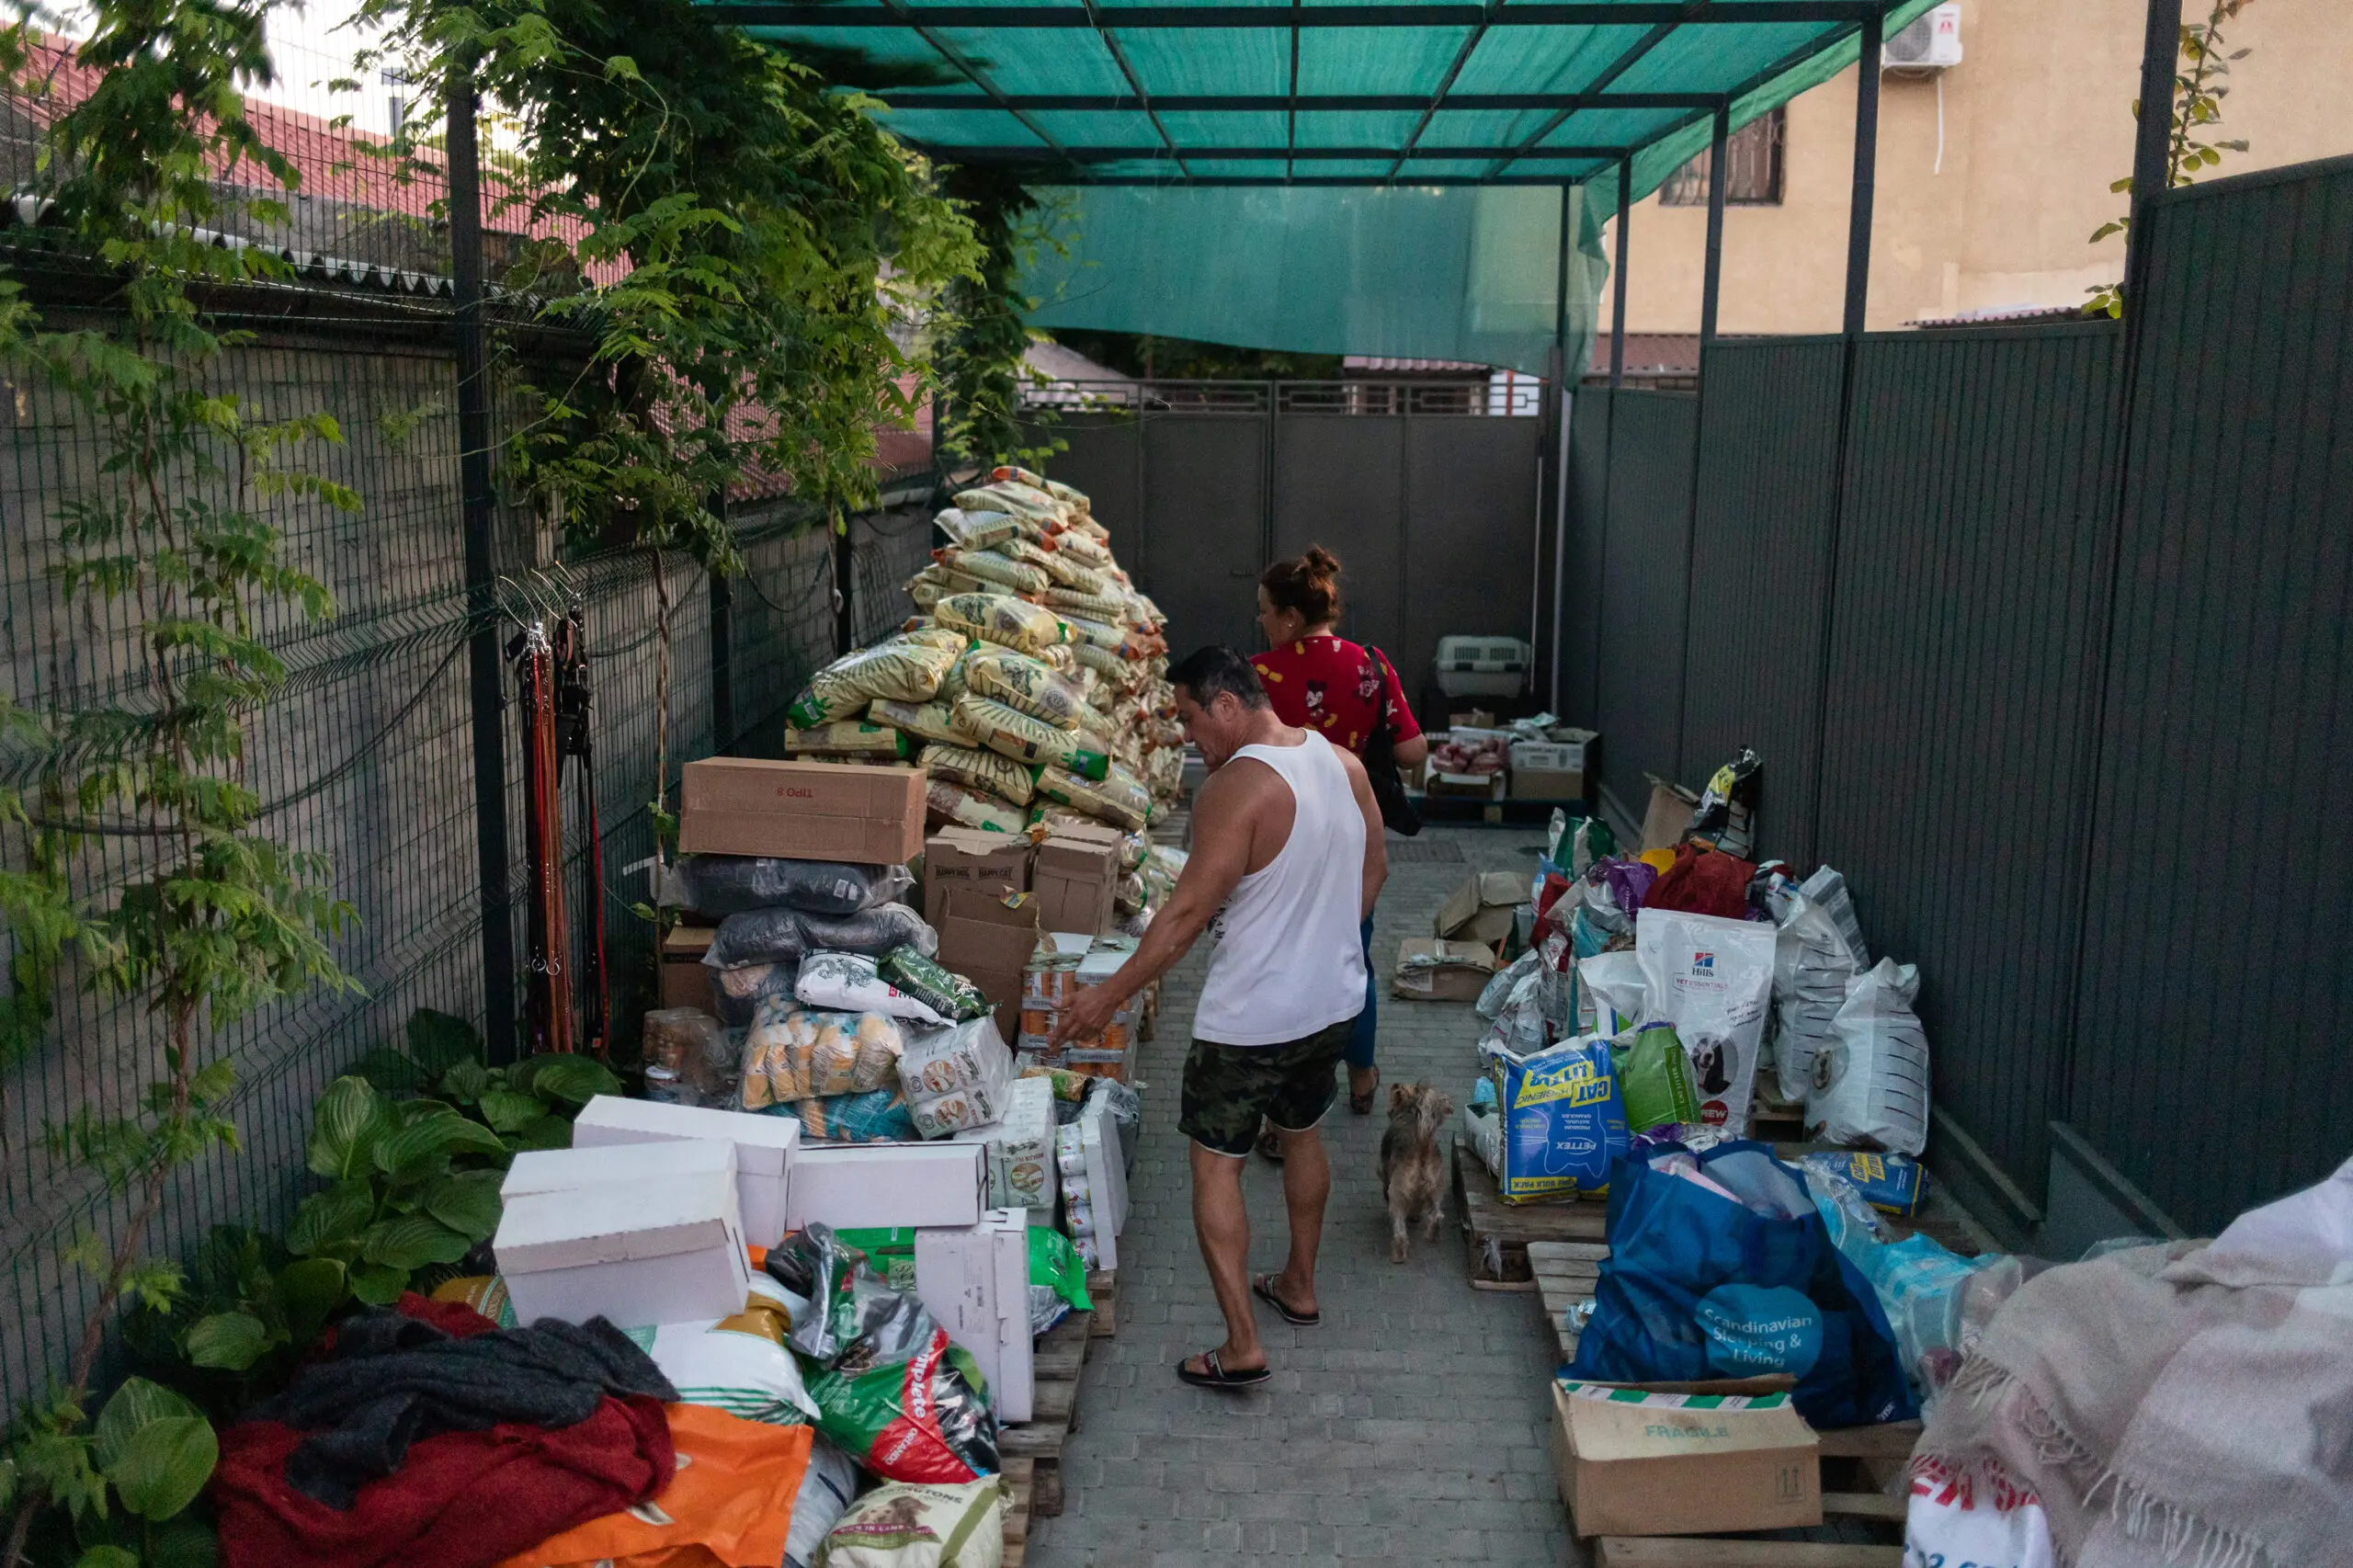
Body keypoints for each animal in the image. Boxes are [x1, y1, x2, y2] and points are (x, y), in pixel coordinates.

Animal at [1374, 1074, 1449, 1261]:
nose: (1395, 1084)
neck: (1408, 1112)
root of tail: (1422, 1142)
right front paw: (1415, 1216)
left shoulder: (1384, 1172)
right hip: (1436, 1184)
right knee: (1436, 1214)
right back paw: (1432, 1234)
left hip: (1398, 1191)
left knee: (1400, 1228)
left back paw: (1398, 1254)